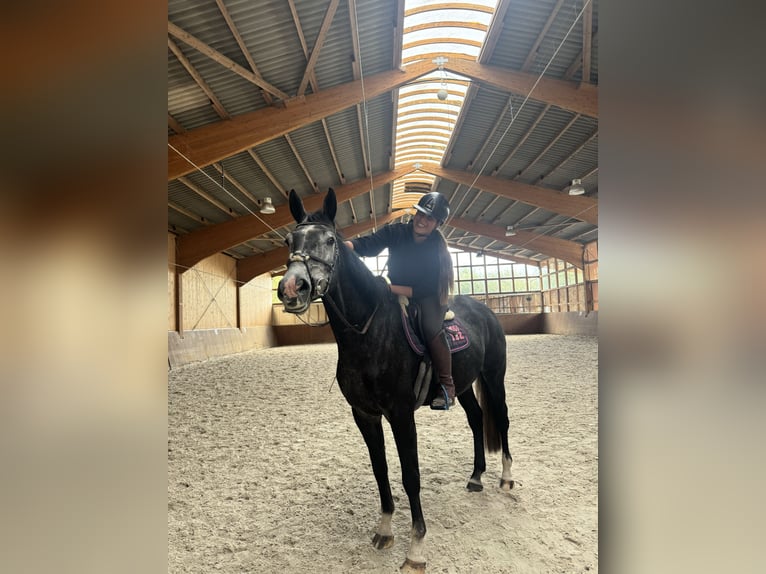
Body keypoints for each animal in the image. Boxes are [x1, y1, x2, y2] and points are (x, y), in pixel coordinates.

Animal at [277, 188, 514, 573]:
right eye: (289, 240)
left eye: (329, 240)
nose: (291, 288)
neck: (369, 332)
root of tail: (486, 311)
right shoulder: (365, 415)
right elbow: (381, 470)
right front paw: (385, 529)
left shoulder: (401, 416)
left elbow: (410, 476)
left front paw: (415, 547)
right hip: (463, 385)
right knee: (477, 418)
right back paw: (476, 476)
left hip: (494, 376)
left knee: (502, 419)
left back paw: (506, 478)